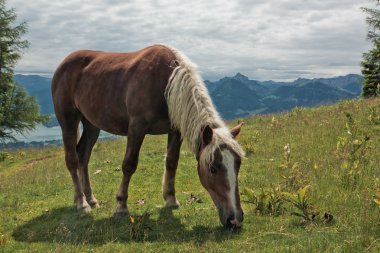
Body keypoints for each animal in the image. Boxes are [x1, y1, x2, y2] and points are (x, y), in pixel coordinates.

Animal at [51, 43, 246, 227]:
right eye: (213, 168)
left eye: (238, 164)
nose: (235, 220)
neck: (166, 82)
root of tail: (63, 65)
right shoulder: (137, 128)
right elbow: (129, 164)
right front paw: (121, 206)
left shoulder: (175, 130)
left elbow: (171, 162)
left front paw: (171, 199)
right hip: (68, 120)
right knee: (72, 159)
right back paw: (82, 203)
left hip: (92, 125)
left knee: (83, 156)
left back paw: (91, 199)